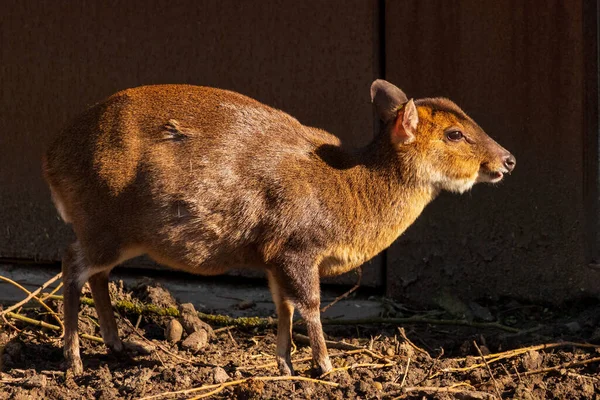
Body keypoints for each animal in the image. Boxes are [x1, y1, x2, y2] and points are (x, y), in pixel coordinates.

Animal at [42, 80, 512, 376]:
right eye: (455, 133)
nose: (507, 159)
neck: (349, 193)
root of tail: (51, 160)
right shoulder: (297, 246)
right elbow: (311, 305)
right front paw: (327, 367)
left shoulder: (271, 257)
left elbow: (282, 306)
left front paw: (285, 365)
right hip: (102, 220)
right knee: (71, 263)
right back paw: (74, 360)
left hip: (113, 232)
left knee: (96, 273)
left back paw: (119, 345)